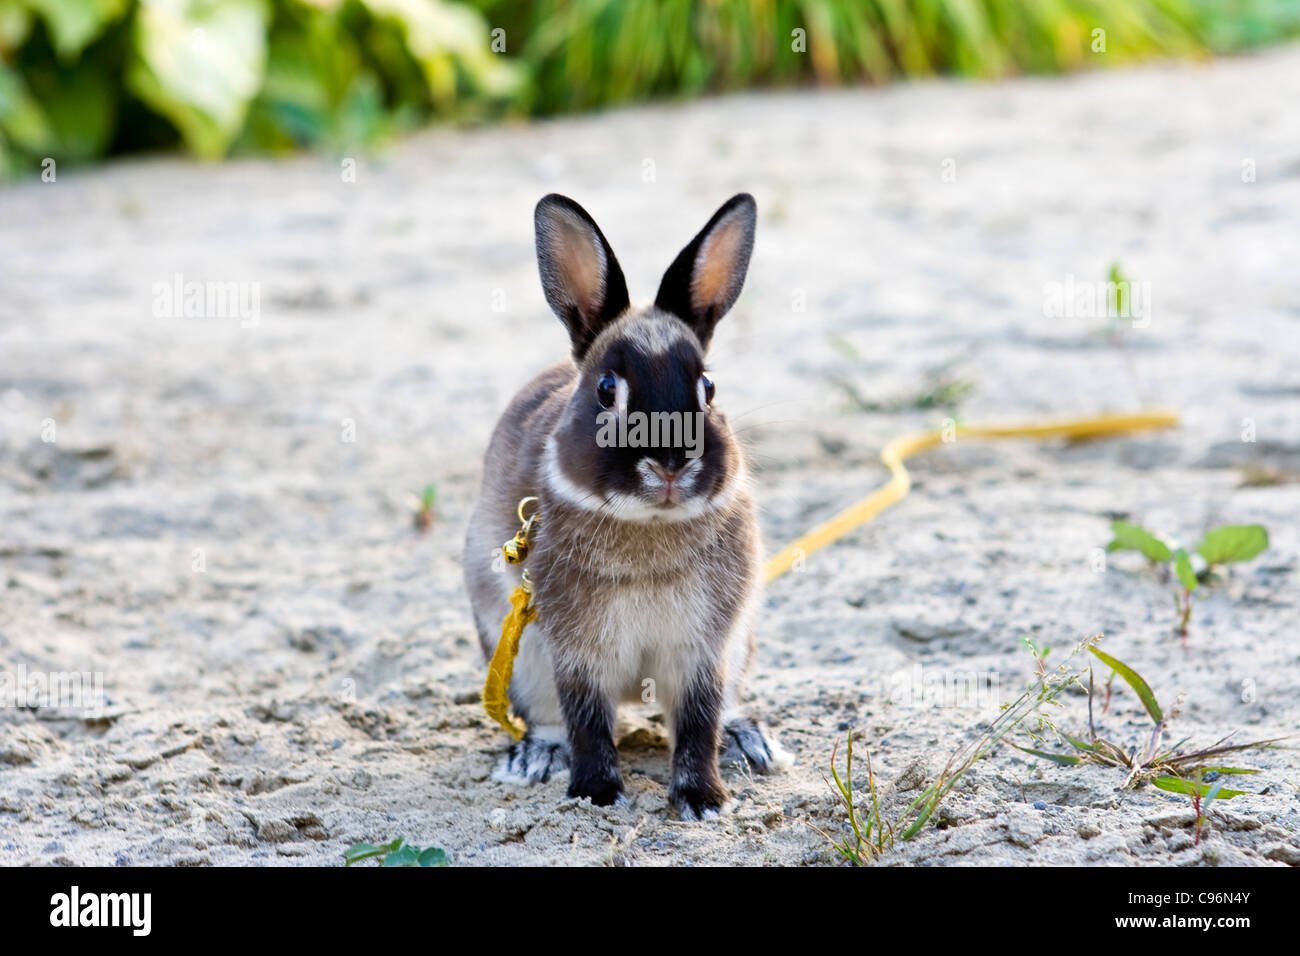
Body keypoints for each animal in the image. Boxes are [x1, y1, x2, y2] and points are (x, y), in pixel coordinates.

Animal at [467, 195, 790, 822]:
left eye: (708, 389)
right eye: (605, 389)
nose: (669, 464)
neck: (650, 524)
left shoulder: (703, 652)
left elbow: (697, 725)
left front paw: (703, 801)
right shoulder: (574, 652)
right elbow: (588, 723)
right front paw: (596, 794)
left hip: (740, 646)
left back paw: (748, 741)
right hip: (516, 649)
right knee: (547, 718)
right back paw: (535, 758)